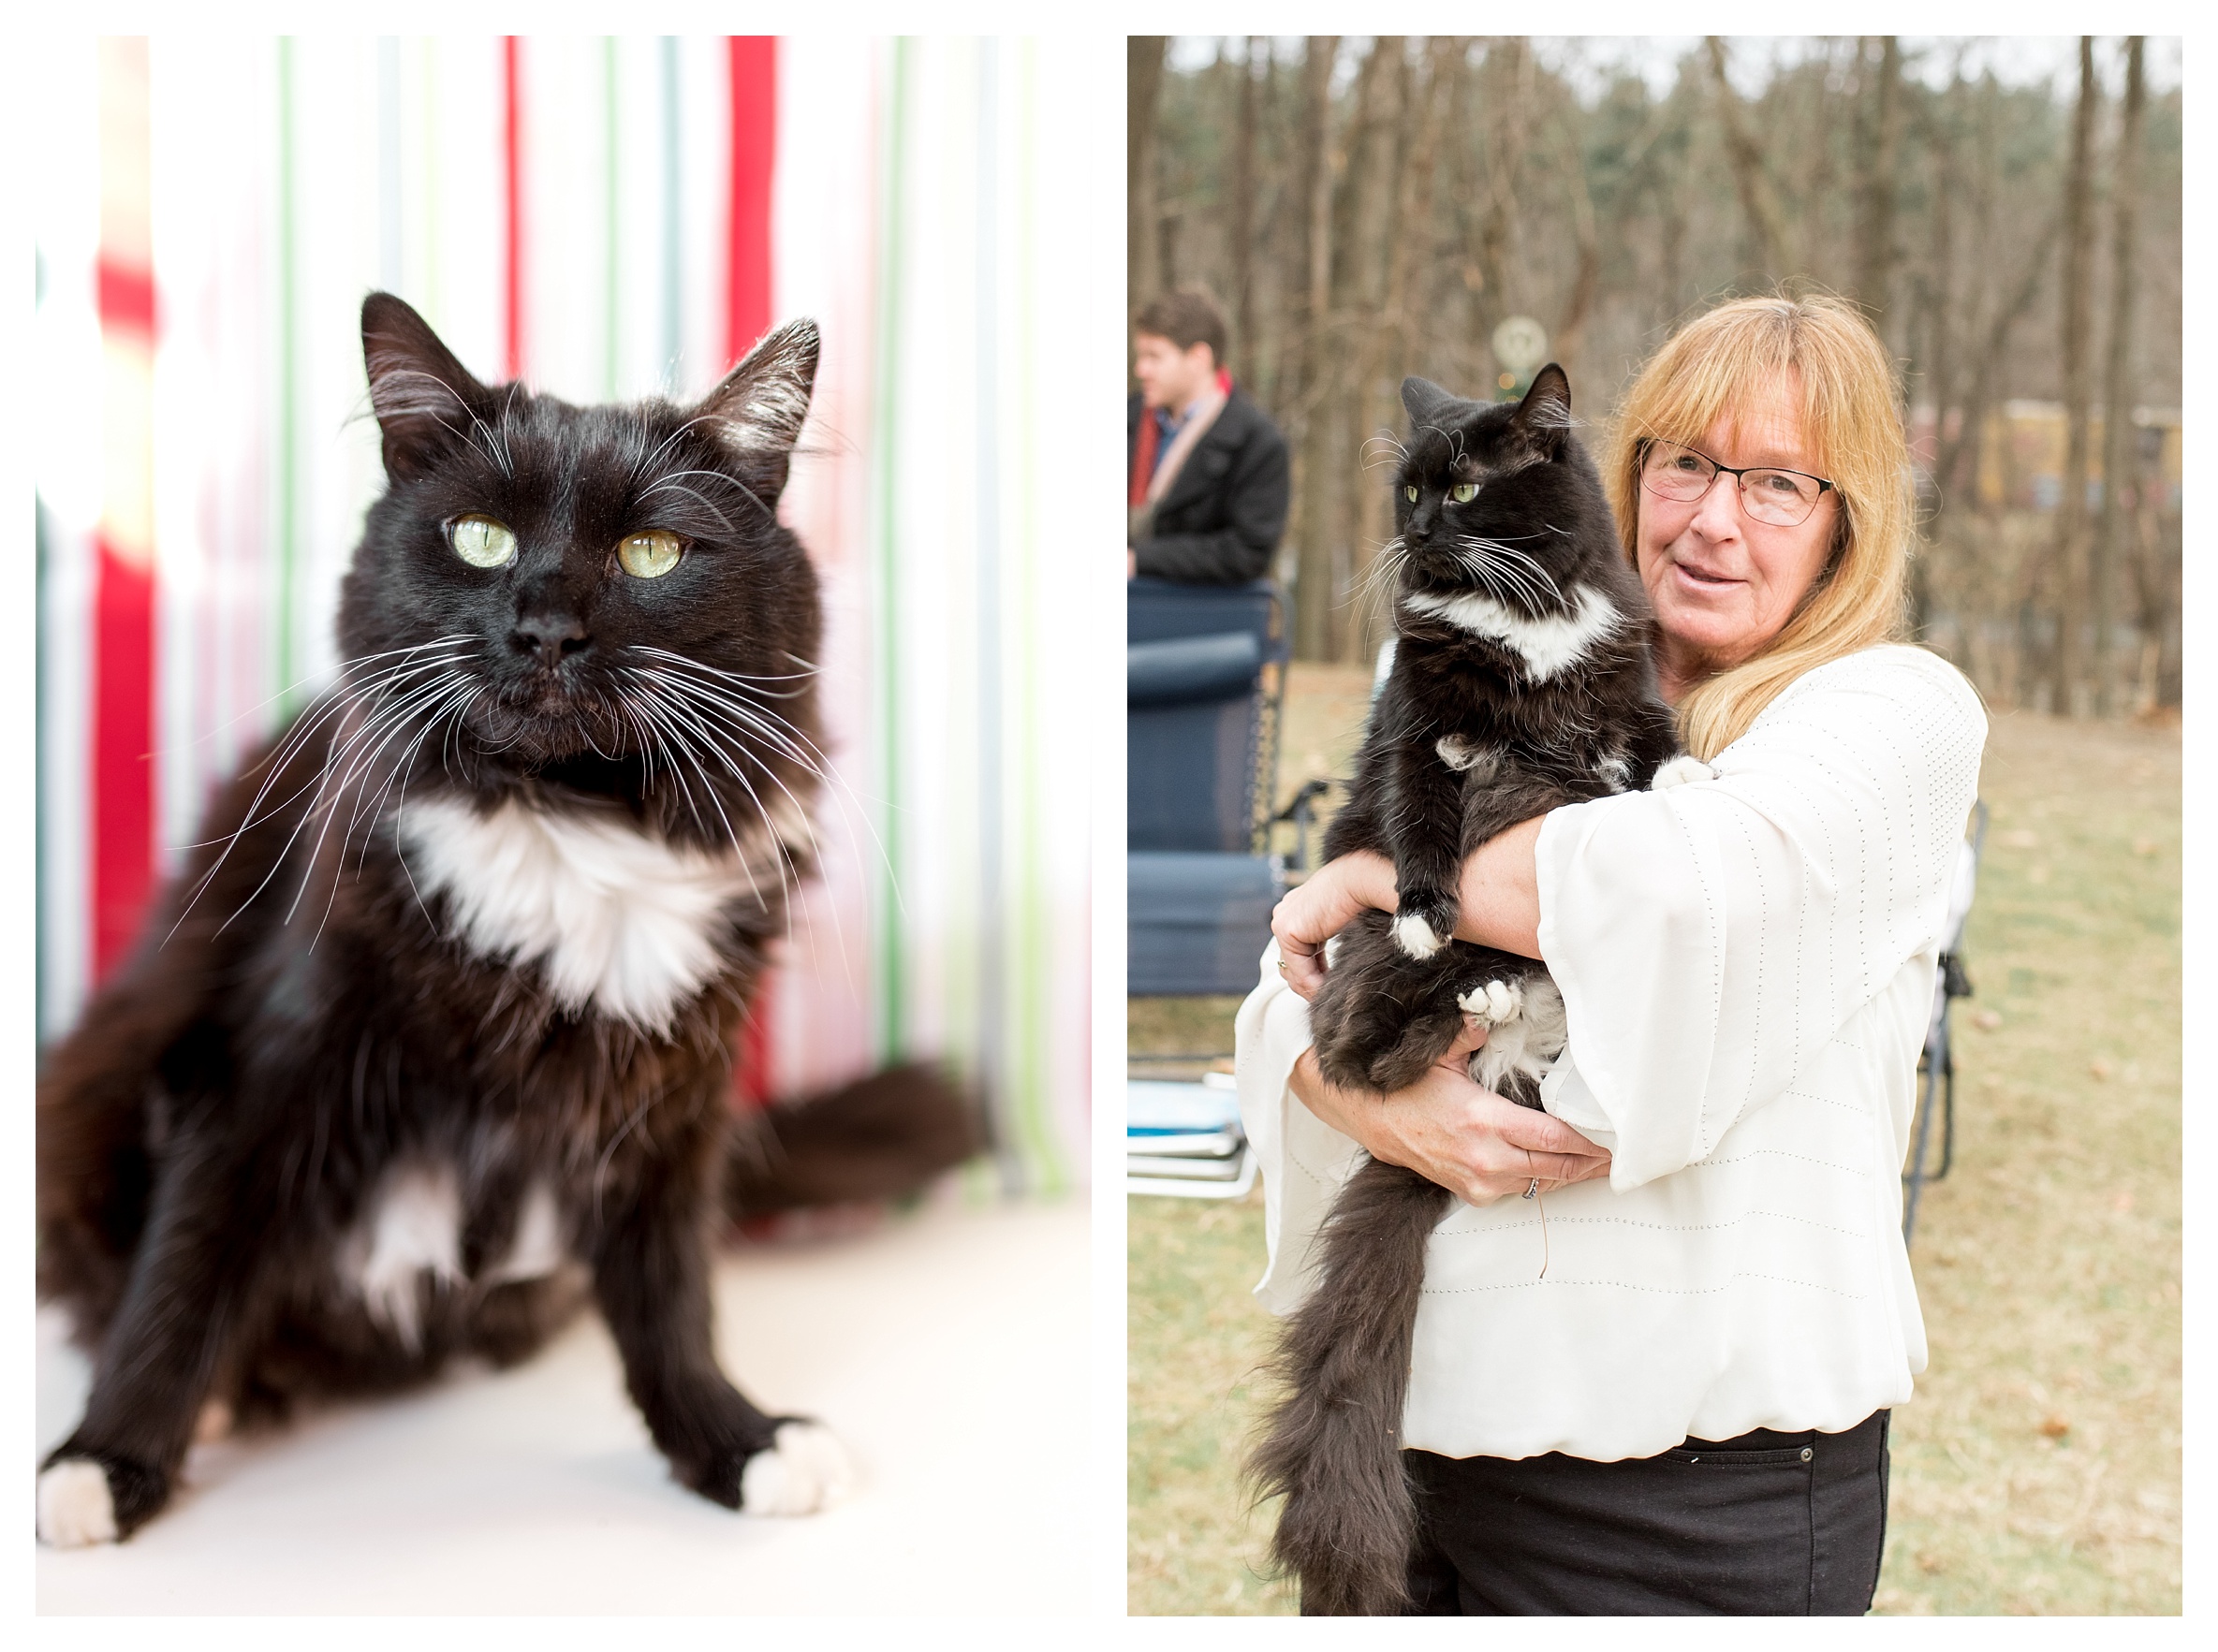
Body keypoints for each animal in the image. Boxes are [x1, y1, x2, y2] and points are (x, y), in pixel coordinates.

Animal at [37, 290, 980, 1542]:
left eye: (649, 552)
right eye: (479, 538)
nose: (545, 629)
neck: (573, 823)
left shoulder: (668, 1107)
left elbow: (672, 1300)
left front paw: (733, 1443)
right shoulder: (261, 1067)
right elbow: (184, 1271)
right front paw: (105, 1461)